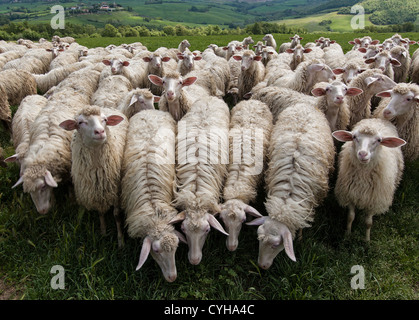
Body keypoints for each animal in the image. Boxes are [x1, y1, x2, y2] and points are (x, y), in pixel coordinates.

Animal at [59, 105, 128, 248]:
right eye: (80, 122)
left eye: (105, 120)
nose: (100, 132)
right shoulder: (96, 193)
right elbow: (100, 212)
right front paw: (103, 232)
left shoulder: (116, 192)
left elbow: (117, 215)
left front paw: (120, 241)